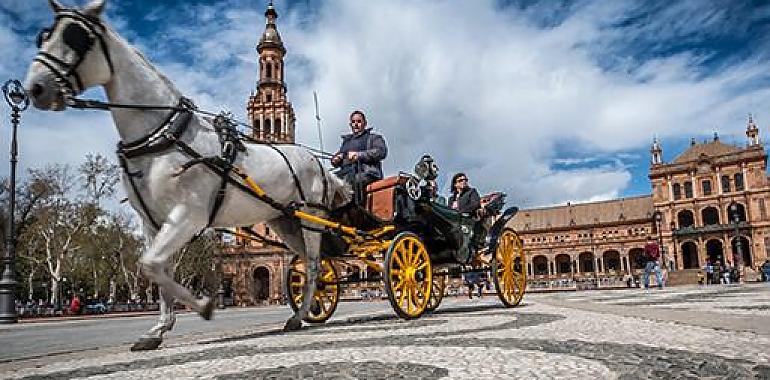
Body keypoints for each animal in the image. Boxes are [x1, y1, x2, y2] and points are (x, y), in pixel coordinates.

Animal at [23, 0, 348, 350]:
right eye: (44, 36)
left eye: (76, 38)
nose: (35, 88)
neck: (162, 135)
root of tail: (319, 164)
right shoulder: (152, 223)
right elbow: (156, 268)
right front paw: (159, 329)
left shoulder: (188, 215)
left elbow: (151, 265)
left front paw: (203, 306)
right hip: (285, 222)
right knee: (309, 263)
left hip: (311, 218)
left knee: (313, 266)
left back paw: (299, 316)